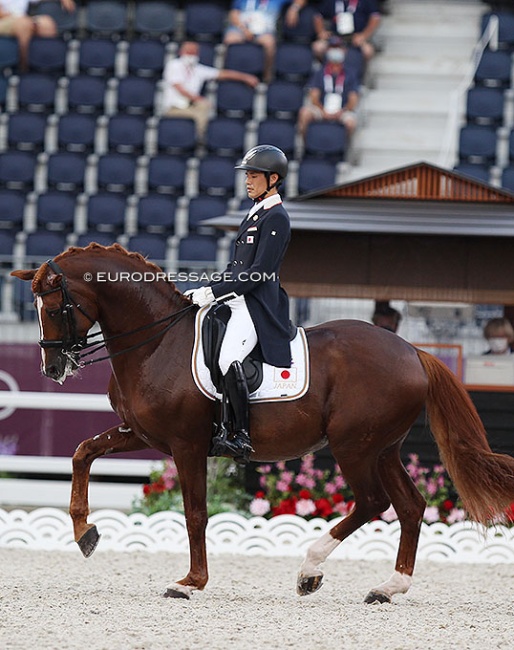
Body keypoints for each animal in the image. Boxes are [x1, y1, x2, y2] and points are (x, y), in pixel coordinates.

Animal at [10, 243, 512, 604]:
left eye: (53, 308)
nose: (53, 369)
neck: (156, 342)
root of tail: (412, 351)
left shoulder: (187, 444)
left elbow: (195, 512)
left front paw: (190, 582)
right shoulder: (144, 434)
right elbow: (83, 452)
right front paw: (85, 533)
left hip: (354, 446)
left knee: (373, 502)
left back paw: (310, 570)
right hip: (383, 447)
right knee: (410, 505)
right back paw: (389, 588)